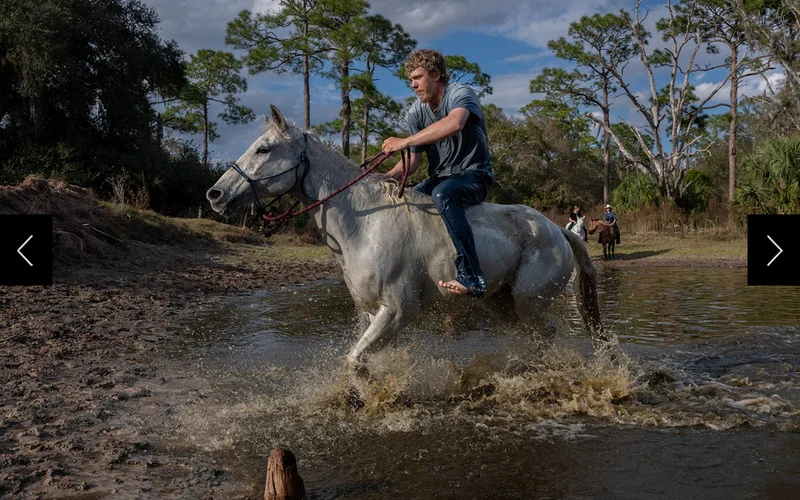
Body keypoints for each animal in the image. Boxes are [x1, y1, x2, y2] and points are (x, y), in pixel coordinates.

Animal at [206, 105, 609, 375]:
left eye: (264, 149)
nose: (215, 194)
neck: (364, 223)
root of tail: (557, 230)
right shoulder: (374, 314)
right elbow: (366, 359)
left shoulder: (398, 311)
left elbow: (354, 361)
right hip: (502, 303)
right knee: (537, 335)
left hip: (528, 301)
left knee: (546, 332)